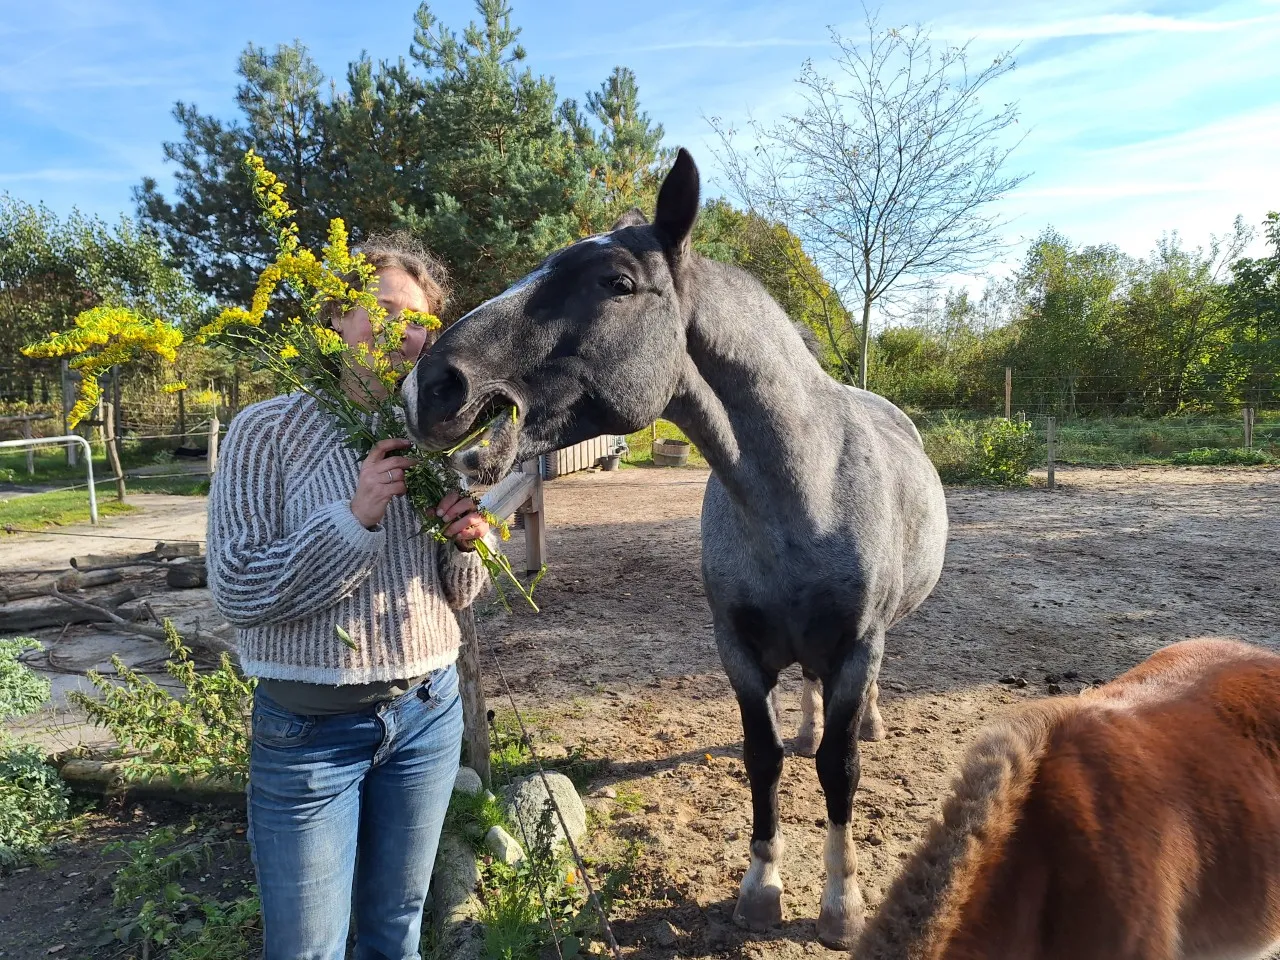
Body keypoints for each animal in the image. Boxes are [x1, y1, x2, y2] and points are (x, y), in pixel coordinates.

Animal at [401, 150, 952, 947]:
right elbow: (763, 759)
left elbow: (839, 771)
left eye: (617, 283)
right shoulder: (738, 651)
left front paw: (840, 905)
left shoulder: (856, 648)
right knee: (807, 701)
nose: (431, 383)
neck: (804, 495)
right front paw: (761, 889)